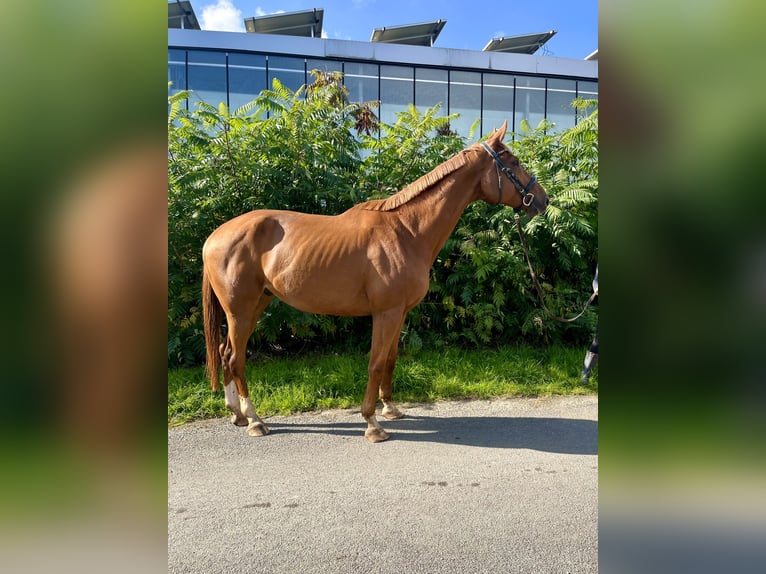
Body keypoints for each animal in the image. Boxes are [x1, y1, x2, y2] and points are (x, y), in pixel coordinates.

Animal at [201, 121, 548, 444]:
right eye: (514, 162)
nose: (542, 200)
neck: (407, 231)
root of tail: (213, 237)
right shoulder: (386, 313)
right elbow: (376, 363)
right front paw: (372, 424)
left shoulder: (400, 313)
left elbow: (390, 360)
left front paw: (390, 409)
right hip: (240, 310)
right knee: (236, 357)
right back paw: (254, 419)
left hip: (257, 303)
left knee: (224, 352)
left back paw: (236, 414)